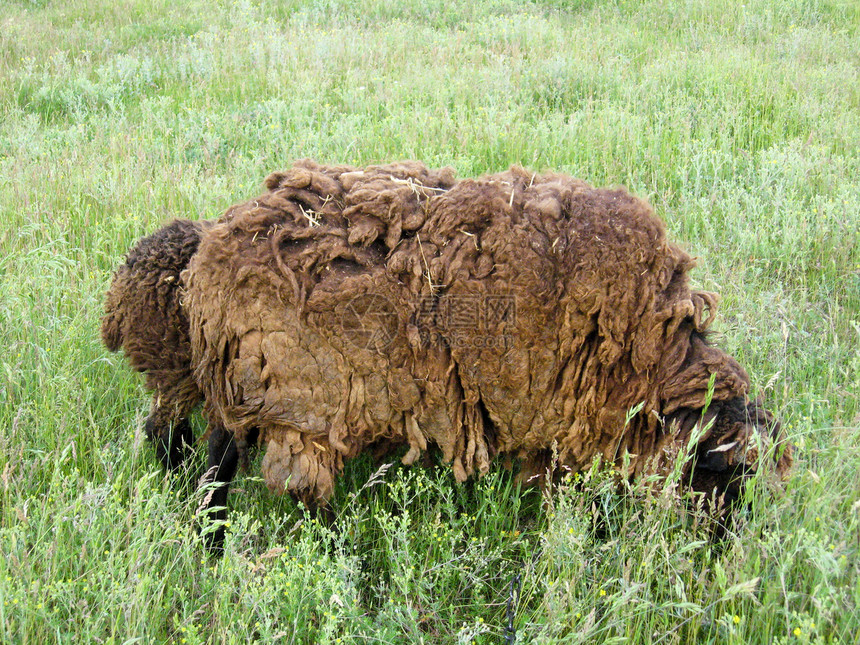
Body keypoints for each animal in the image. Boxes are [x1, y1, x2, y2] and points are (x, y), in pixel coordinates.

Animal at [175, 158, 792, 532]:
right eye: (731, 482)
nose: (725, 553)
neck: (650, 364)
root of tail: (214, 250)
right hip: (278, 395)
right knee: (227, 464)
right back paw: (220, 532)